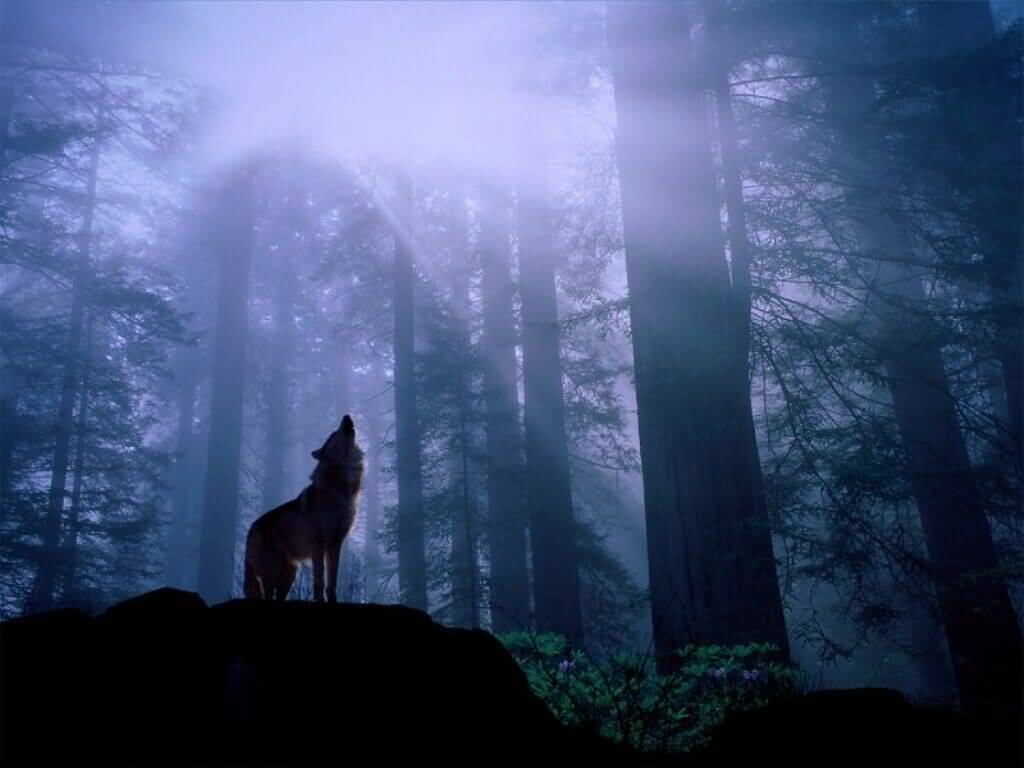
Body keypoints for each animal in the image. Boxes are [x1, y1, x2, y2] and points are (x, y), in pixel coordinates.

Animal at [243, 415, 364, 602]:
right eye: (333, 434)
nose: (346, 416)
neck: (339, 488)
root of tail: (251, 529)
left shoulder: (335, 544)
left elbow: (332, 581)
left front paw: (333, 600)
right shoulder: (318, 544)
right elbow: (319, 579)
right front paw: (320, 600)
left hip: (289, 575)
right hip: (272, 573)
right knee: (267, 595)